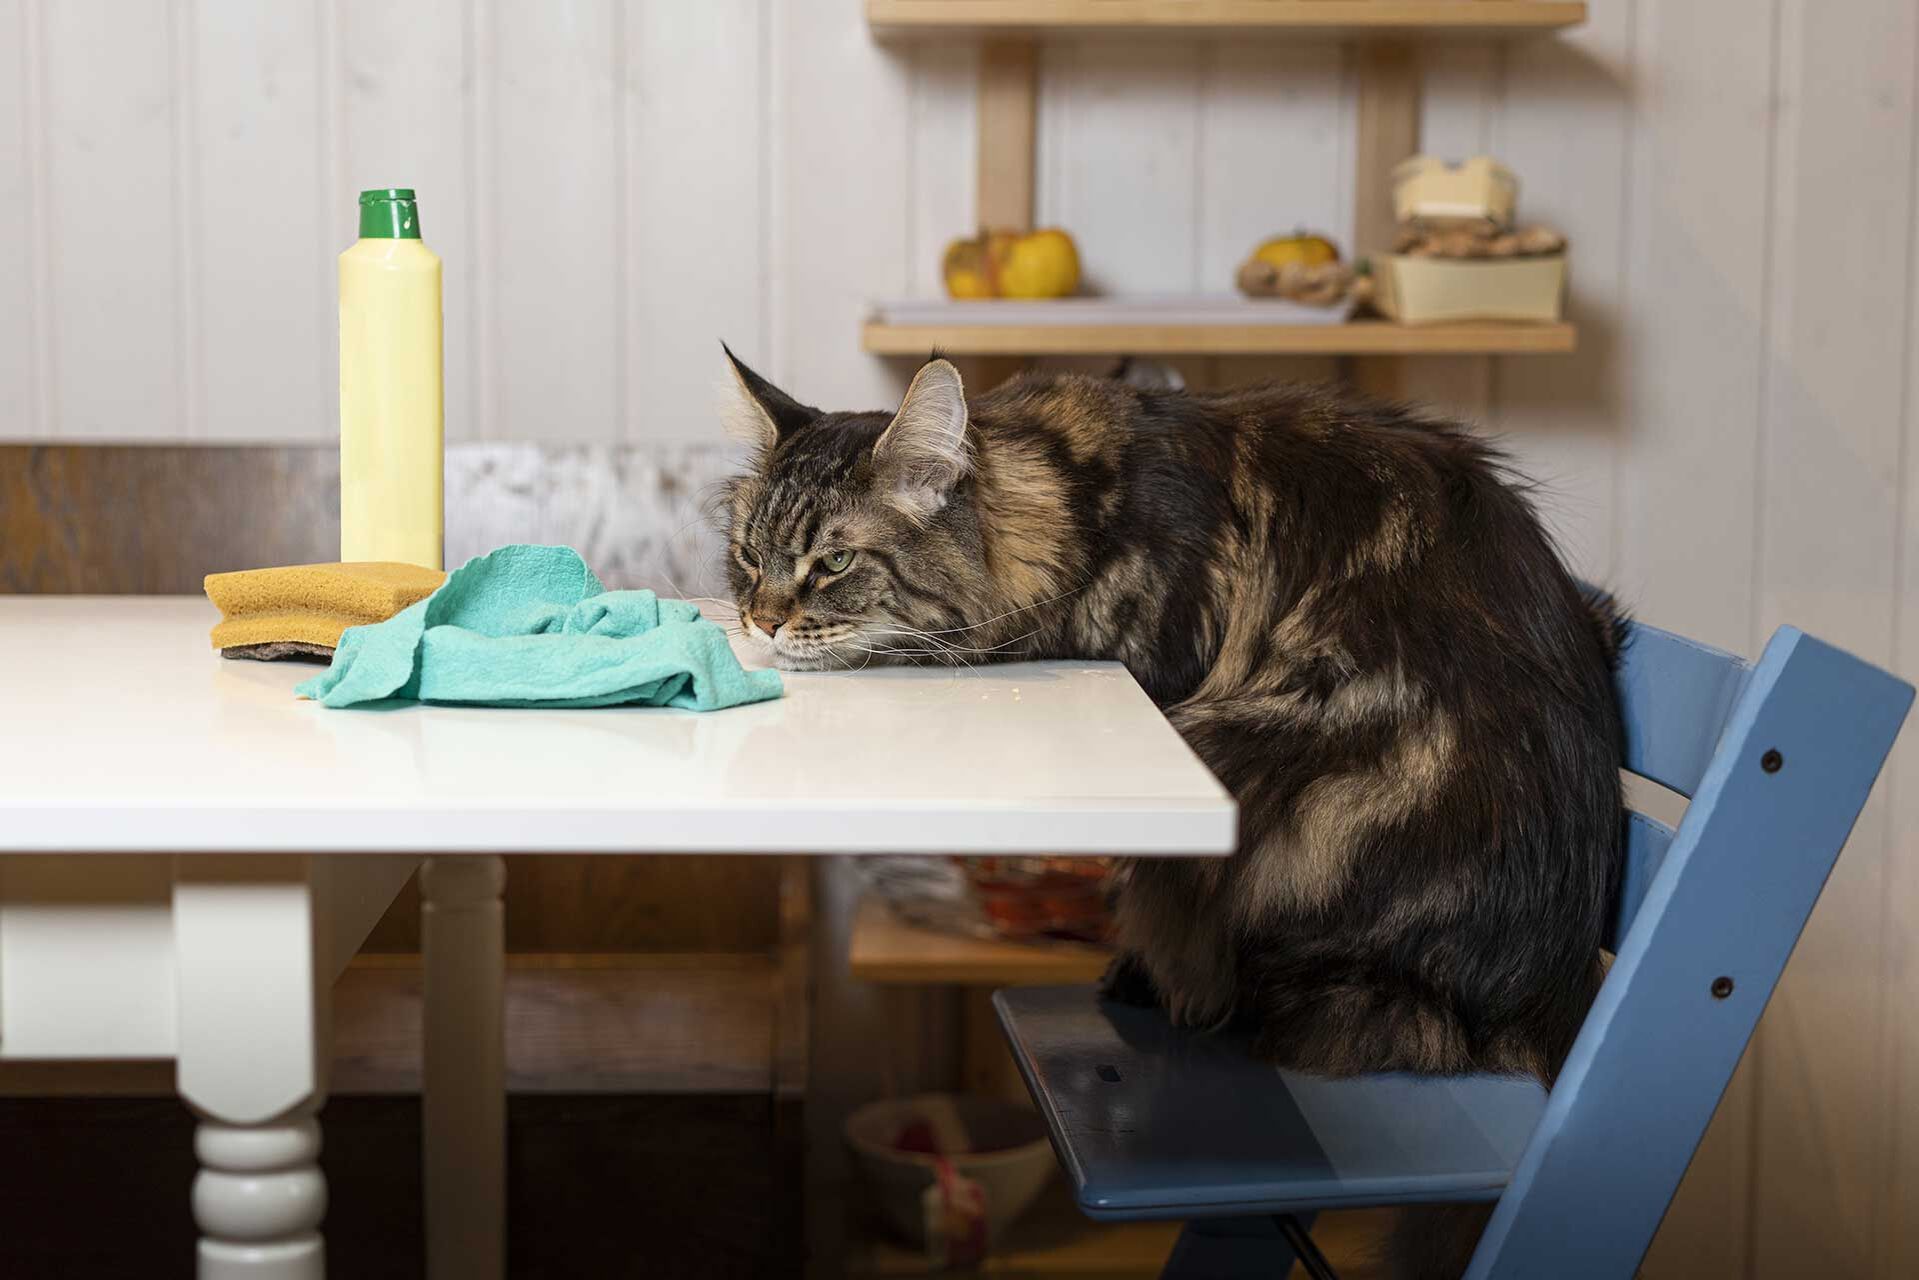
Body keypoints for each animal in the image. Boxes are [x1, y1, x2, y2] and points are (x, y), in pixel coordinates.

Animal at [717, 347, 1619, 1274]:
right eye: (747, 557)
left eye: (832, 564)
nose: (760, 620)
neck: (1077, 501)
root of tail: (1545, 993)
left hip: (1237, 750)